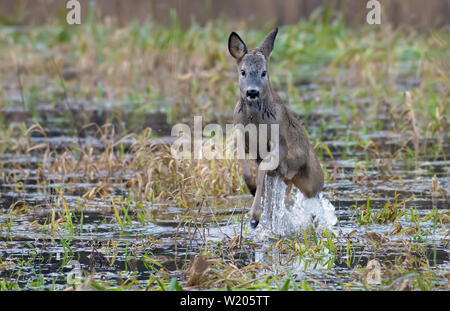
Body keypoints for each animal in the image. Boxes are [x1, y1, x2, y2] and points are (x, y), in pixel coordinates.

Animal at [229, 27, 324, 229]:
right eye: (243, 71)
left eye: (264, 72)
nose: (252, 92)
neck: (255, 123)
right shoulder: (240, 136)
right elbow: (244, 165)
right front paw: (251, 189)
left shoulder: (279, 144)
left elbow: (262, 170)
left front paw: (254, 217)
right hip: (285, 179)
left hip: (313, 180)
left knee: (315, 195)